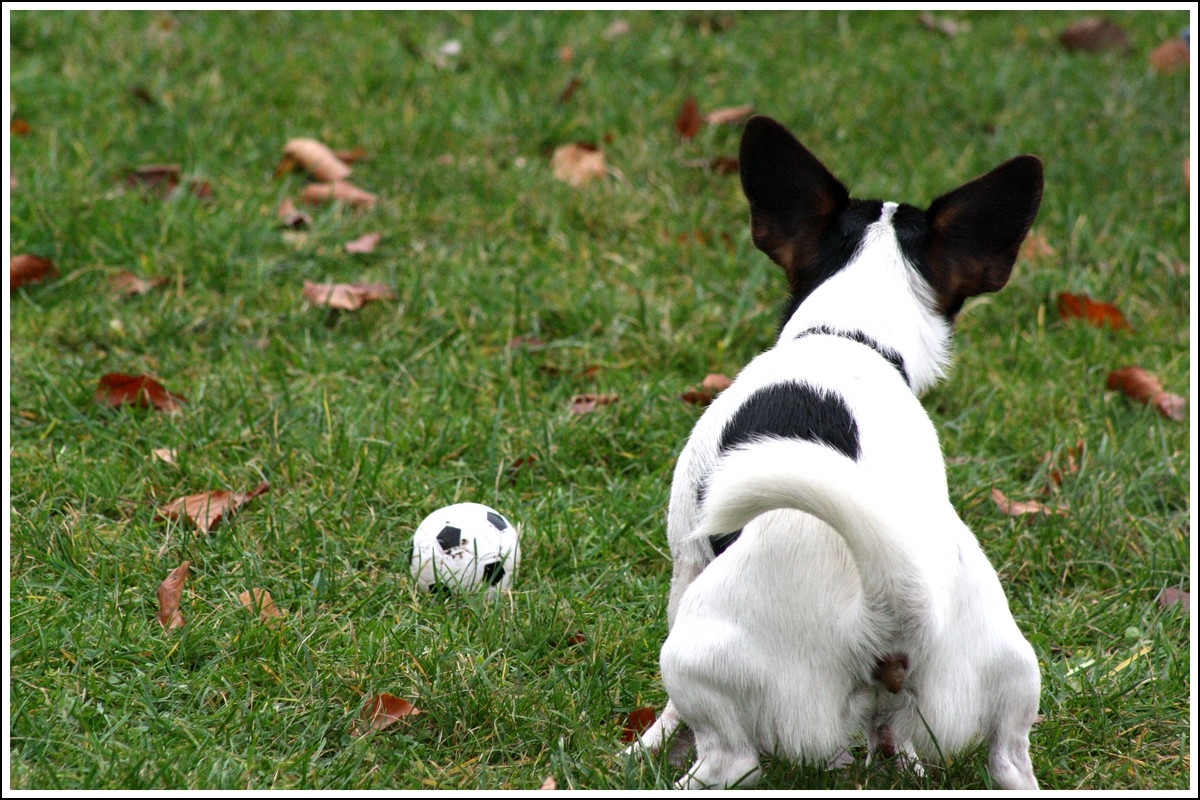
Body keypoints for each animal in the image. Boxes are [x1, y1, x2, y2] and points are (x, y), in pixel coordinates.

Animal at [628, 115, 1041, 791]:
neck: (853, 337)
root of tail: (892, 606)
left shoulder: (687, 553)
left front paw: (650, 742)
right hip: (1011, 680)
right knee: (1006, 760)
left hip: (697, 656)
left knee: (733, 762)